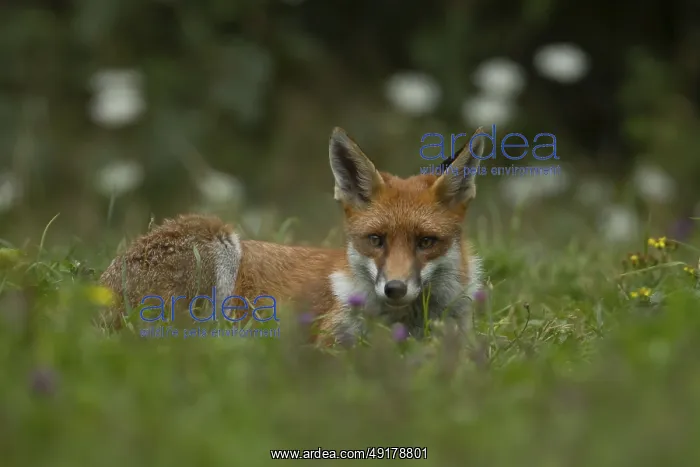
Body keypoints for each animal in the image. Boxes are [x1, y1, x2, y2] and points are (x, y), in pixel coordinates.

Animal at [98, 127, 485, 343]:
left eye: (426, 242)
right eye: (376, 240)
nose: (395, 288)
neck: (410, 323)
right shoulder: (328, 340)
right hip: (215, 239)